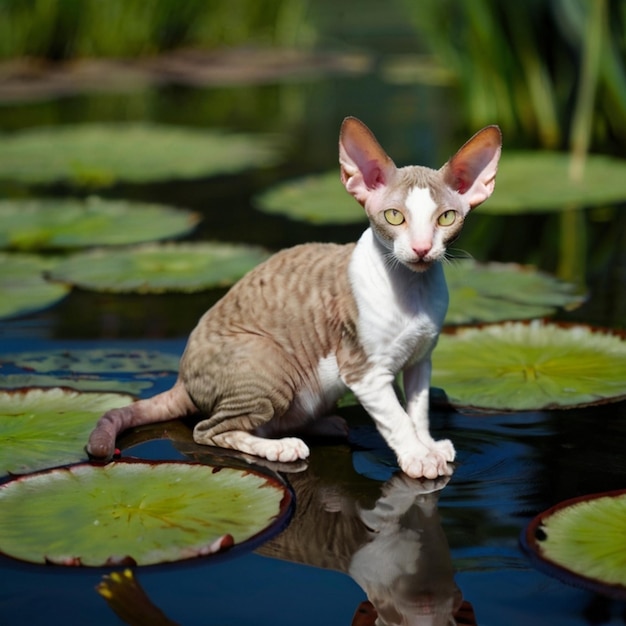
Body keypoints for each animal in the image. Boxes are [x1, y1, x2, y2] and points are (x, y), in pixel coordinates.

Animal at [86, 117, 498, 478]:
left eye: (446, 219)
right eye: (394, 217)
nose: (422, 249)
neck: (413, 290)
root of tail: (183, 379)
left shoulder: (420, 359)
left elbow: (418, 409)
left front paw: (428, 445)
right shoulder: (364, 370)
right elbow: (397, 418)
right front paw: (418, 457)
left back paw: (324, 425)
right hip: (269, 359)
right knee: (210, 429)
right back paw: (282, 447)